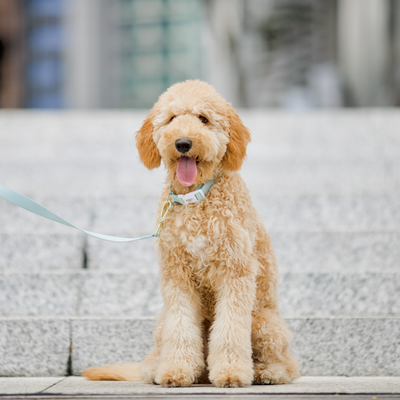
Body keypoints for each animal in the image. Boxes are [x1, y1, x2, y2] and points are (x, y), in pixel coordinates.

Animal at [83, 79, 298, 388]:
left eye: (203, 118)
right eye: (172, 119)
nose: (183, 143)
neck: (195, 199)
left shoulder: (235, 272)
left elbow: (230, 329)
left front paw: (231, 373)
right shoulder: (177, 275)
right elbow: (181, 327)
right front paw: (175, 370)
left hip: (264, 322)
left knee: (288, 363)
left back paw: (267, 372)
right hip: (162, 324)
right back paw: (158, 369)